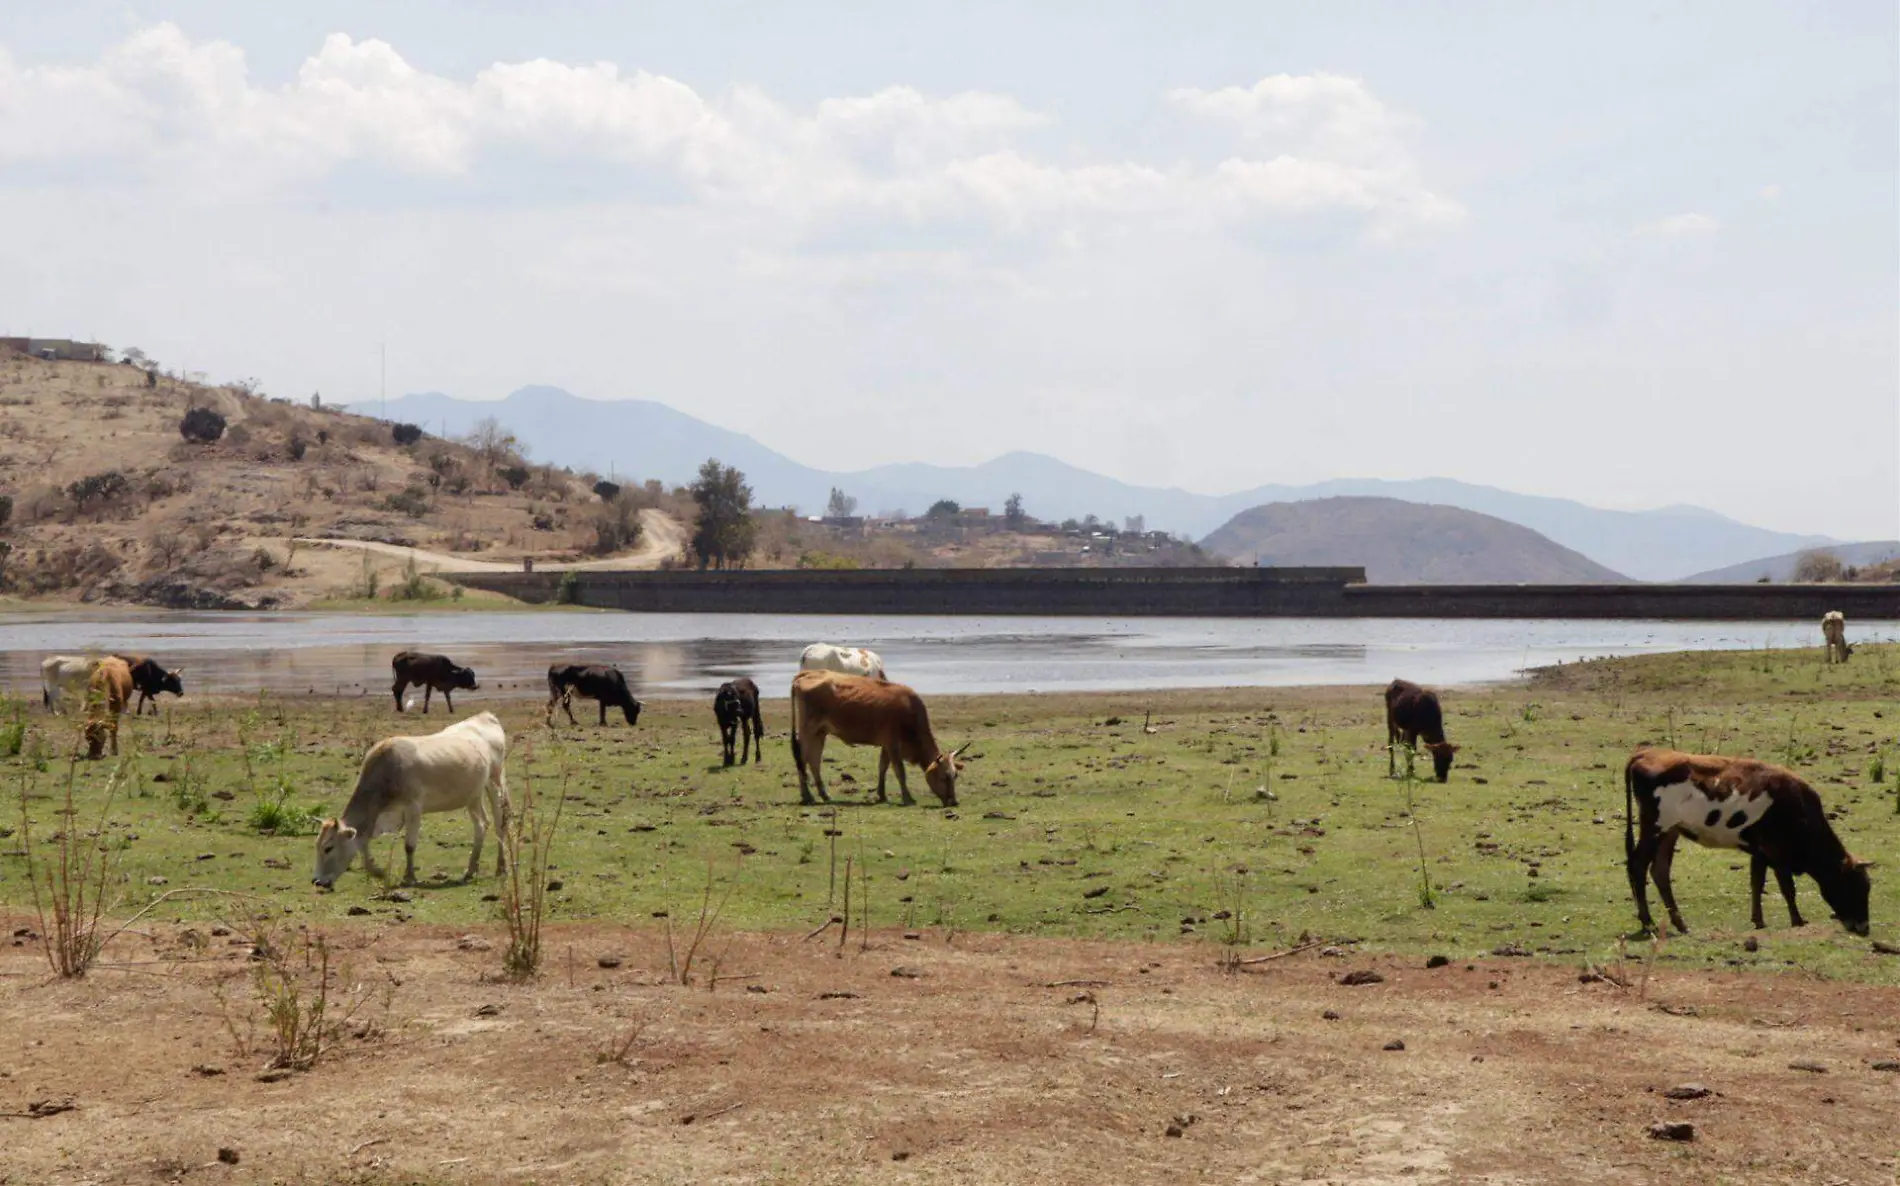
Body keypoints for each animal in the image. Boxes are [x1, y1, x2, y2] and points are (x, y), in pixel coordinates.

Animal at [311, 707, 509, 885]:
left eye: (328, 848)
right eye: (316, 845)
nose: (317, 881)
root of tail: (485, 716)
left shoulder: (413, 807)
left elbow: (409, 845)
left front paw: (409, 877)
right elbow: (364, 848)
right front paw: (379, 872)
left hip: (495, 782)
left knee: (499, 823)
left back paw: (501, 867)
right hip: (473, 795)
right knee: (481, 824)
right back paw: (471, 870)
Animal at [786, 672, 965, 809]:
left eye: (955, 776)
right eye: (943, 777)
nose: (954, 802)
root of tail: (808, 673)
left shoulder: (886, 744)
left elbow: (882, 768)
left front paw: (882, 795)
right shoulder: (893, 744)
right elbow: (900, 772)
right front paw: (908, 798)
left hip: (820, 732)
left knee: (814, 761)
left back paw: (824, 795)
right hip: (807, 730)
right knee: (802, 759)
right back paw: (808, 796)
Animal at [1618, 748, 1869, 935]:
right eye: (1855, 885)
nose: (1864, 928)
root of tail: (1646, 753)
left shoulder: (1760, 852)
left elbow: (1757, 883)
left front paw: (1758, 920)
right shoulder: (1777, 853)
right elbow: (1788, 888)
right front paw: (1797, 921)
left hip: (1670, 831)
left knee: (1659, 870)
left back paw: (1680, 924)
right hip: (1655, 827)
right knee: (1638, 866)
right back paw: (1648, 922)